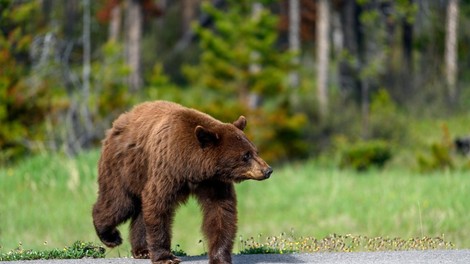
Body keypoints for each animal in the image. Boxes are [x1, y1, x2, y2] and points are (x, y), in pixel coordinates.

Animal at [91, 100, 272, 262]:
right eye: (246, 156)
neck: (192, 167)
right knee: (119, 202)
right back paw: (110, 236)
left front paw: (220, 257)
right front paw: (165, 257)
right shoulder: (167, 169)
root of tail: (119, 120)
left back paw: (142, 250)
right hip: (124, 167)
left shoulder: (214, 182)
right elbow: (158, 205)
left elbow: (221, 211)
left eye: (255, 151)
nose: (267, 170)